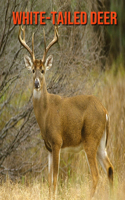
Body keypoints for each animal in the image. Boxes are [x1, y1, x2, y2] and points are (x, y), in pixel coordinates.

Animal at [18, 24, 113, 198]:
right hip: (102, 142)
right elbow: (49, 181)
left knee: (96, 175)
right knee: (109, 169)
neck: (46, 113)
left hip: (90, 139)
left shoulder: (57, 141)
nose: (36, 83)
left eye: (43, 70)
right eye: (32, 70)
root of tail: (105, 111)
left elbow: (55, 180)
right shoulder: (48, 147)